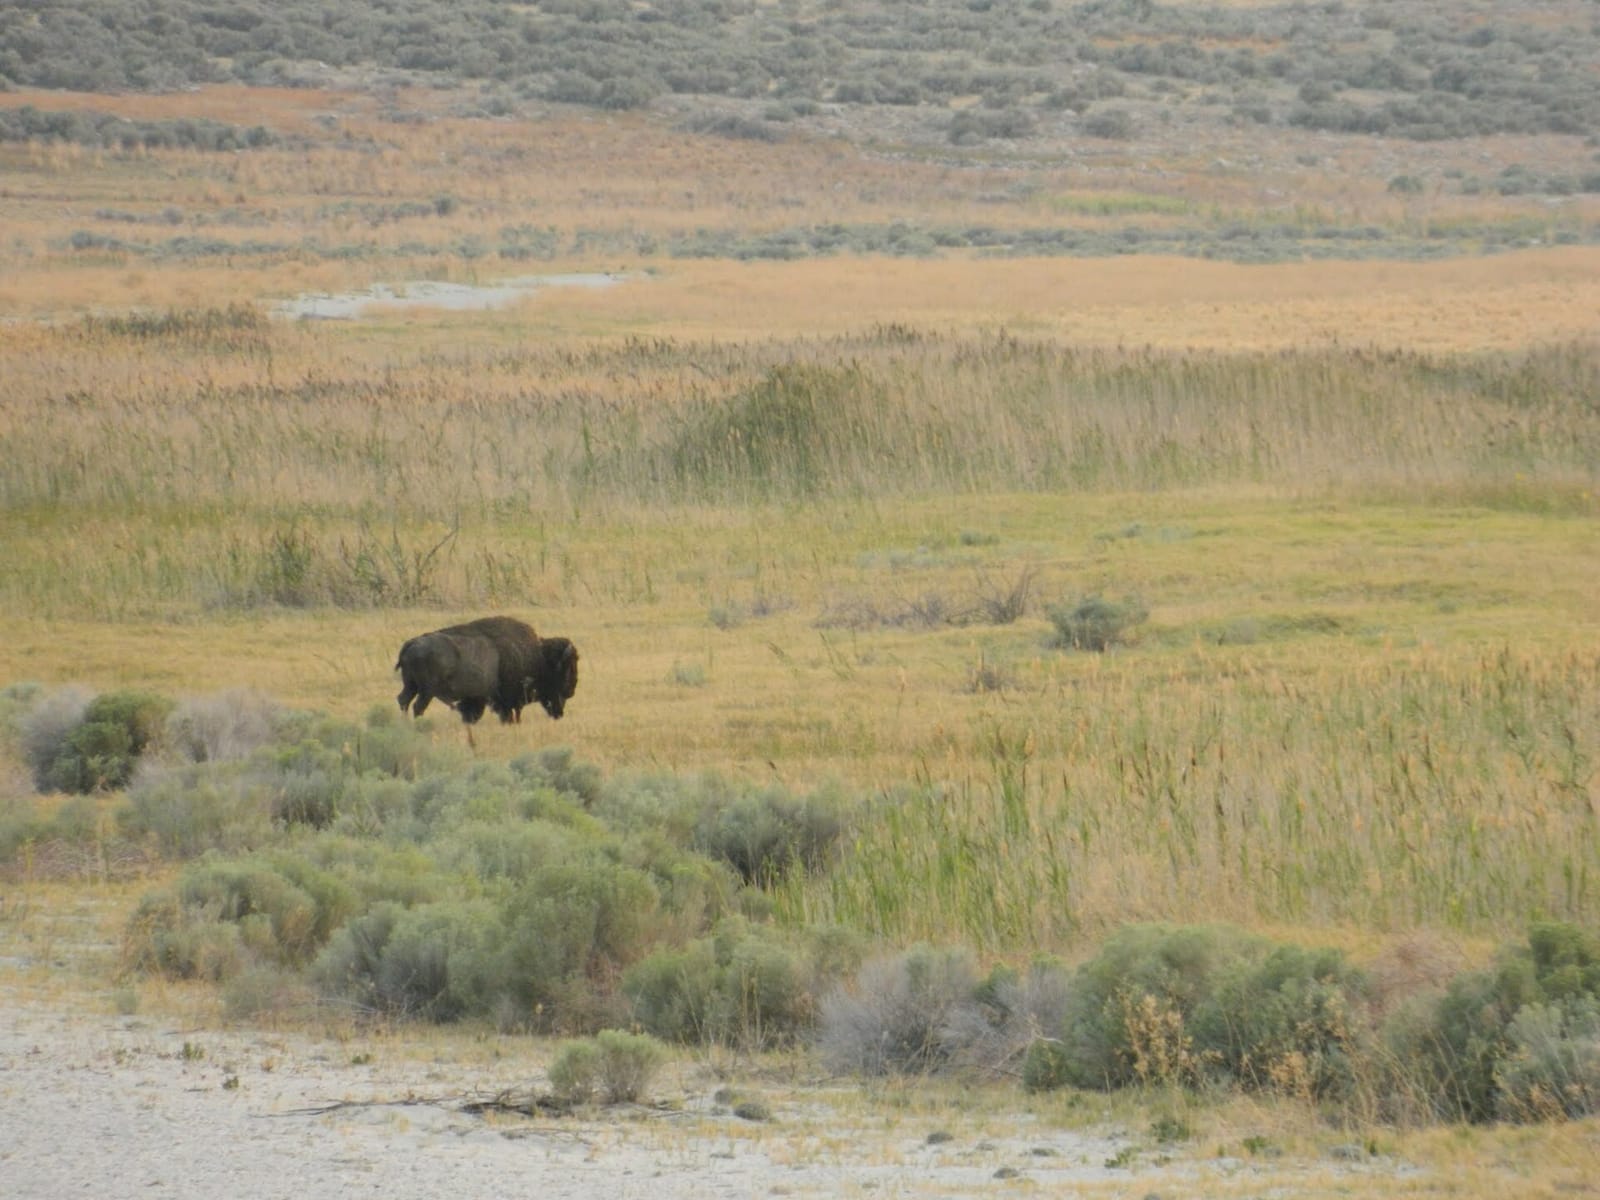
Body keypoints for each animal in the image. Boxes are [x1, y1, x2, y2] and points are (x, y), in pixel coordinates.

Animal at [395, 616, 579, 739]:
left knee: (404, 700)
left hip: (411, 686)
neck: (539, 656)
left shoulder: (477, 699)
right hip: (427, 691)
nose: (571, 690)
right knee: (417, 706)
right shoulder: (503, 701)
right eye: (567, 669)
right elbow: (507, 714)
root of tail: (410, 644)